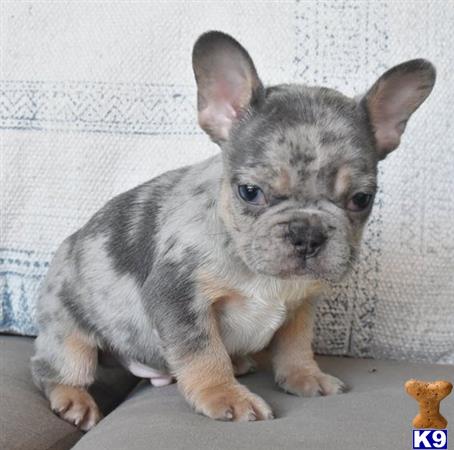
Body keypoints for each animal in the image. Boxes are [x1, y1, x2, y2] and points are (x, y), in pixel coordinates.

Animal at [31, 30, 436, 428]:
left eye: (362, 199)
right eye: (250, 192)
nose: (307, 233)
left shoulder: (301, 306)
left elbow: (295, 345)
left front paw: (305, 376)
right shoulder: (180, 295)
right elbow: (203, 351)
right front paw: (223, 395)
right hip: (70, 338)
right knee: (51, 369)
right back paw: (73, 399)